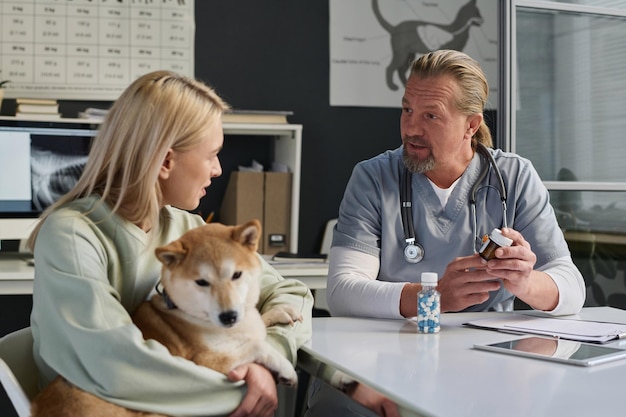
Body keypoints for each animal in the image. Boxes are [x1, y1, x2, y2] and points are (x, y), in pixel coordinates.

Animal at [31, 219, 300, 414]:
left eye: (236, 275)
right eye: (201, 282)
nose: (229, 317)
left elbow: (258, 324)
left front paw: (278, 312)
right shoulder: (205, 361)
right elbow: (256, 345)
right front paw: (286, 368)